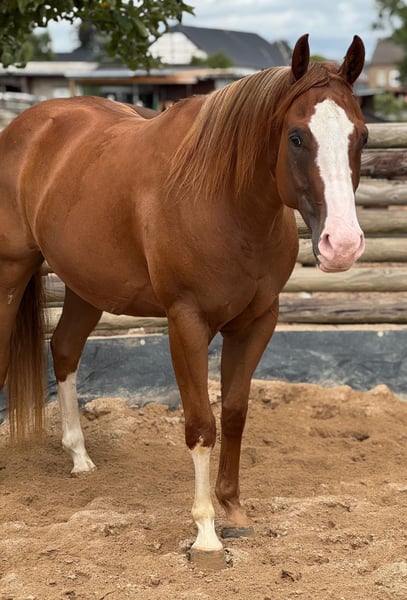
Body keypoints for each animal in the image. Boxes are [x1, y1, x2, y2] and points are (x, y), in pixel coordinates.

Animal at [0, 34, 367, 569]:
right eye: (297, 137)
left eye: (361, 137)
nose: (342, 245)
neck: (224, 200)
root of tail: (26, 126)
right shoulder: (186, 322)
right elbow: (201, 425)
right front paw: (206, 534)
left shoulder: (258, 321)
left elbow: (234, 411)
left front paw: (233, 509)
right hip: (11, 273)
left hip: (86, 287)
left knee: (64, 351)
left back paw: (80, 457)